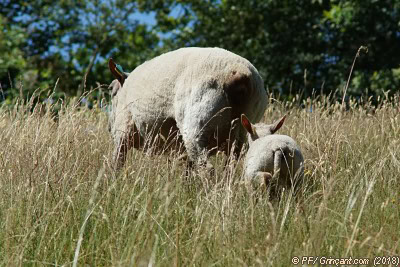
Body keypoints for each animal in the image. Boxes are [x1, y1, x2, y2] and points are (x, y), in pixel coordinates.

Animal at [108, 47, 268, 171]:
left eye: (112, 91)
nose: (109, 128)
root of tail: (241, 75)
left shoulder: (123, 130)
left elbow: (116, 163)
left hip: (198, 122)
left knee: (206, 168)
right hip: (242, 133)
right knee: (229, 169)